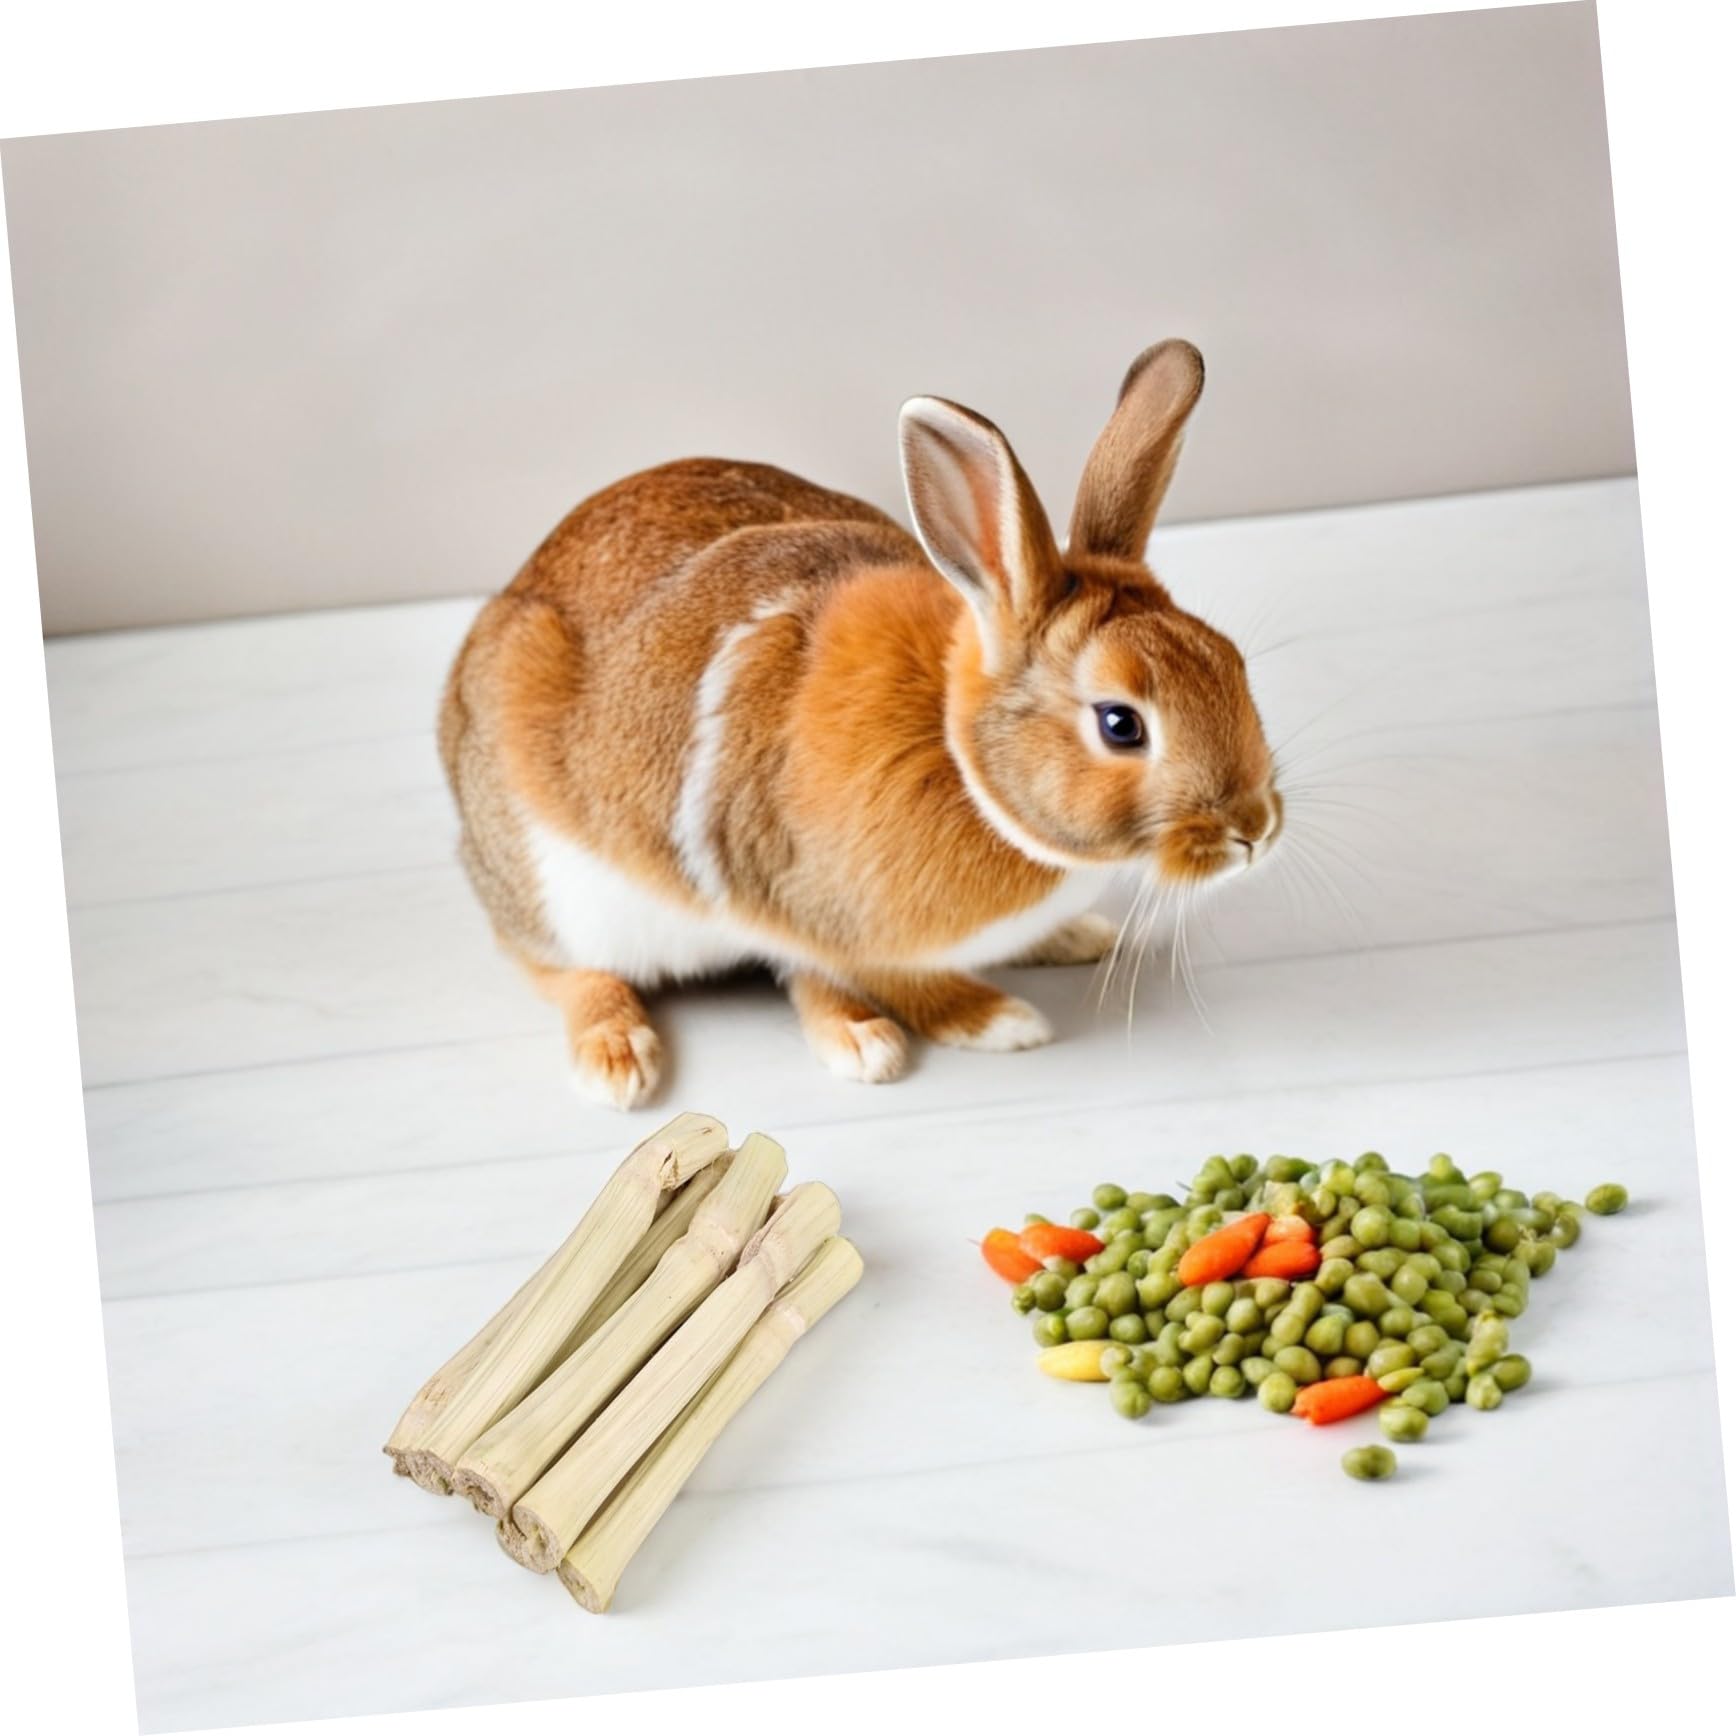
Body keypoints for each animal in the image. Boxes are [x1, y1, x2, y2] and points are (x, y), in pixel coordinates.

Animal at [439, 339, 1281, 1108]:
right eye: (1120, 725)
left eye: (1230, 661)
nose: (1255, 830)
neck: (960, 757)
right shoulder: (795, 899)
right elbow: (867, 978)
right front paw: (974, 1026)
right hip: (555, 889)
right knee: (555, 966)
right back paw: (617, 1063)